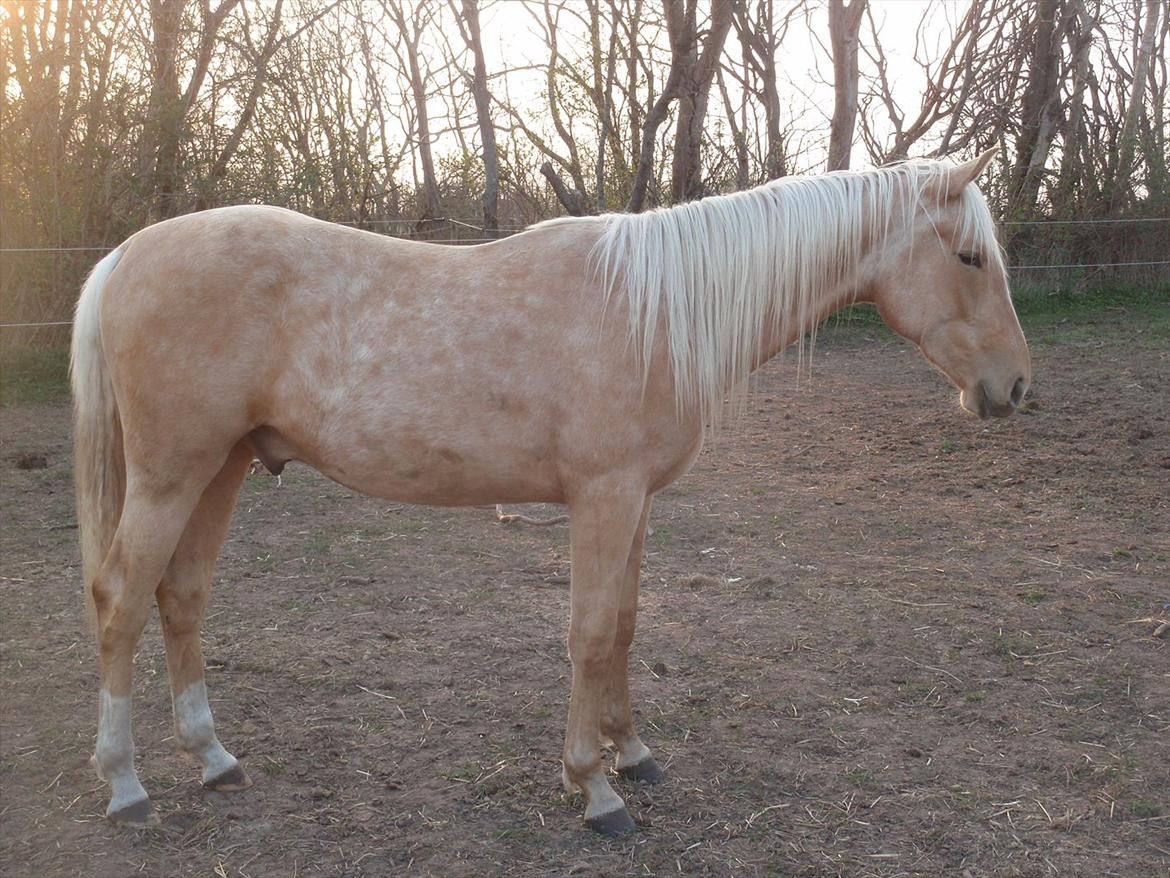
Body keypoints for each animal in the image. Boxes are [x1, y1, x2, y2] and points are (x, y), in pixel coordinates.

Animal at [73, 151, 1024, 838]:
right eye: (969, 257)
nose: (1012, 388)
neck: (652, 310)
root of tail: (125, 255)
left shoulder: (637, 501)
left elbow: (627, 628)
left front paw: (633, 752)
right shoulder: (603, 497)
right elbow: (589, 634)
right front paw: (594, 789)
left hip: (222, 468)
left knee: (181, 598)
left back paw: (214, 759)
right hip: (171, 475)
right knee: (120, 601)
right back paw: (125, 784)